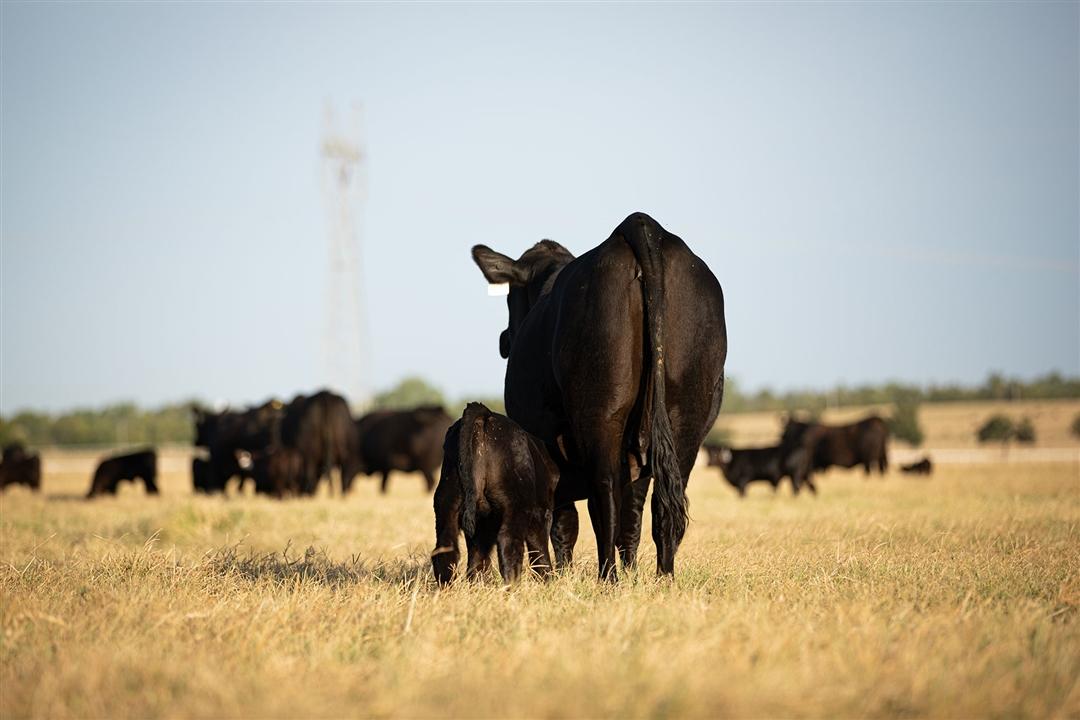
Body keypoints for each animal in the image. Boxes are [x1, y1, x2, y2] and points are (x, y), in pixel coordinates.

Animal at [432, 402, 559, 585]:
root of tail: (486, 414)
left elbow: (479, 554)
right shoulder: (542, 512)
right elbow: (539, 549)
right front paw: (547, 580)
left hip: (447, 501)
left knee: (445, 549)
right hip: (516, 504)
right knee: (509, 543)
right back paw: (512, 586)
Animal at [471, 212, 727, 579]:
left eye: (510, 298)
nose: (505, 339)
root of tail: (642, 225)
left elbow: (564, 519)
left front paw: (560, 574)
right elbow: (632, 511)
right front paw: (631, 570)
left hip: (600, 411)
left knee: (603, 496)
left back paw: (609, 577)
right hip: (687, 417)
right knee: (662, 504)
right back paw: (663, 577)